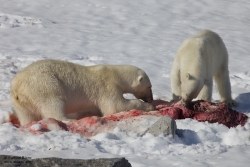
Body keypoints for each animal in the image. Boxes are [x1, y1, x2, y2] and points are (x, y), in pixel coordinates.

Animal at [10, 59, 154, 125]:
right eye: (149, 87)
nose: (151, 99)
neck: (116, 74)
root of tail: (18, 86)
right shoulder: (107, 86)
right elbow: (115, 106)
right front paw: (148, 106)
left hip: (22, 102)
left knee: (26, 115)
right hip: (45, 85)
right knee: (53, 104)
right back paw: (69, 119)